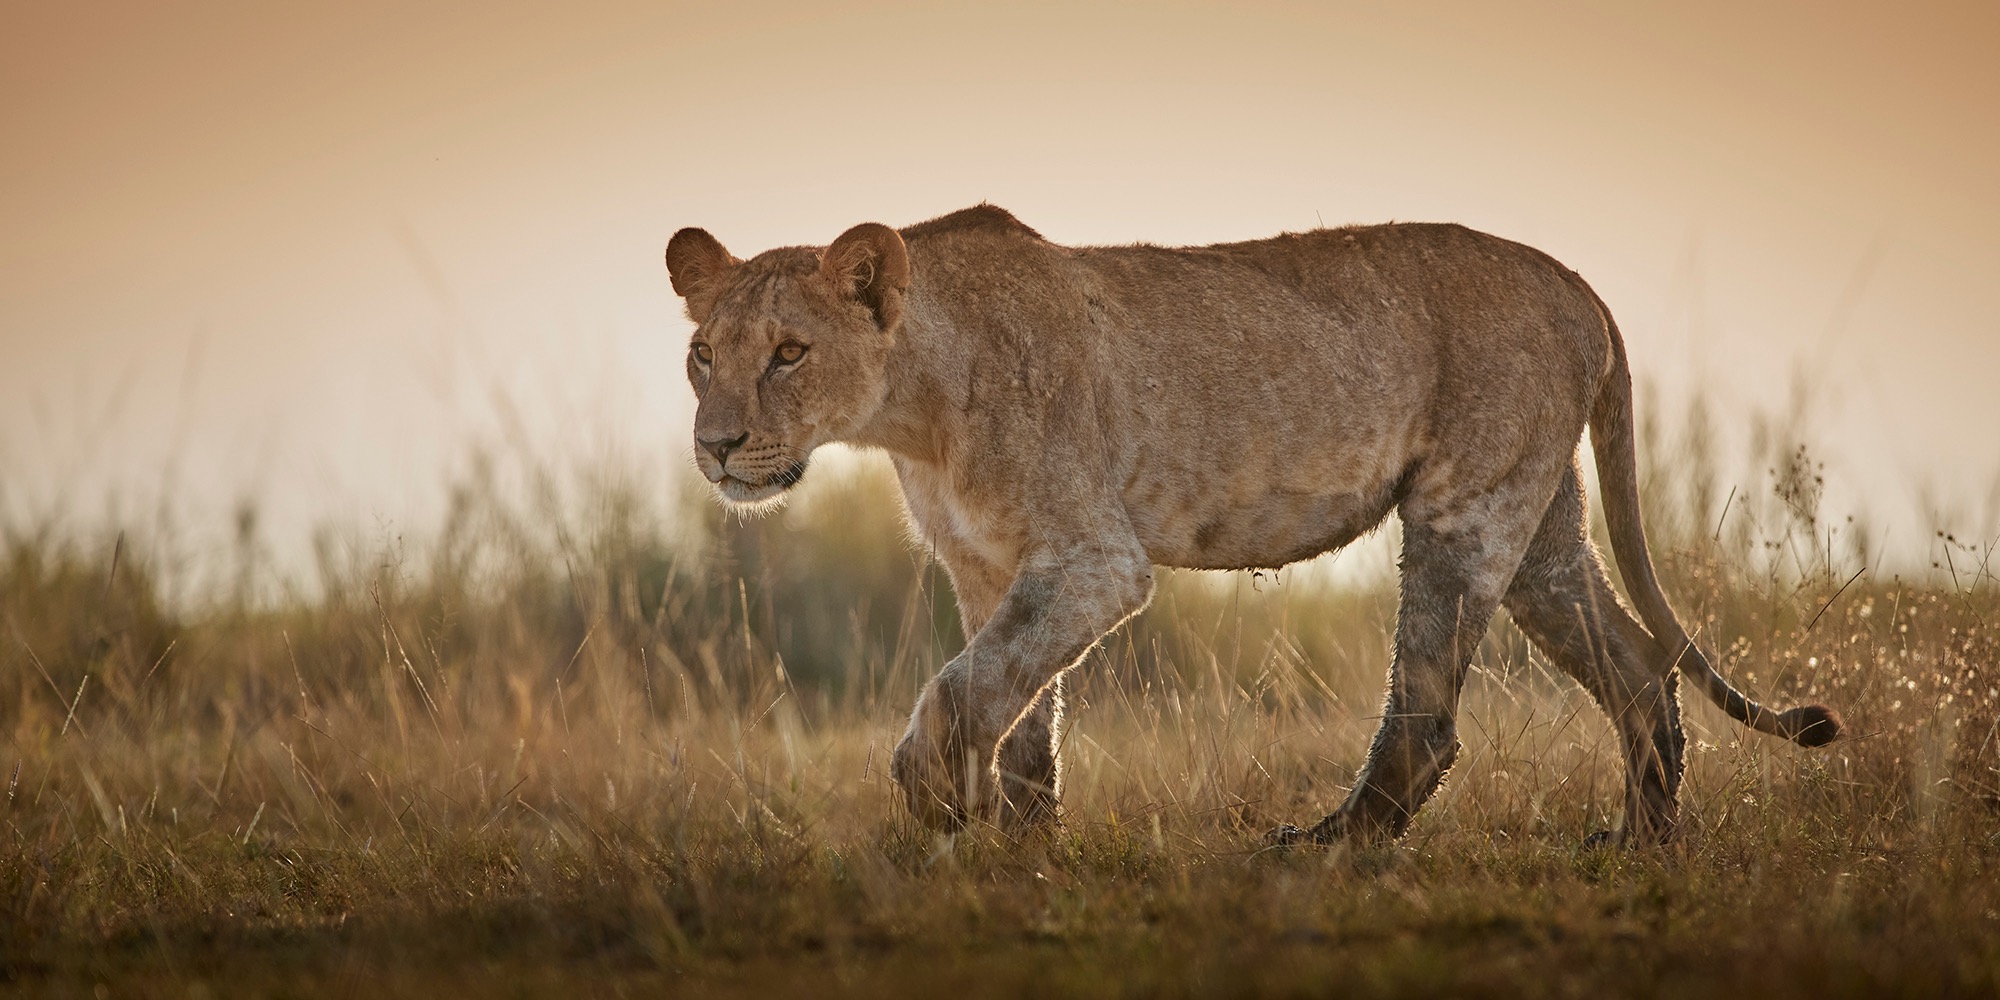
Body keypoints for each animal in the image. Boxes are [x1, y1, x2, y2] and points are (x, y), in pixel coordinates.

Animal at [664, 204, 1843, 847]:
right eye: (701, 355)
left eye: (788, 353)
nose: (716, 447)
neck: (914, 411)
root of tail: (1577, 283)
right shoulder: (987, 566)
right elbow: (1019, 705)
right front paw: (1022, 846)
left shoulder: (1094, 560)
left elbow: (964, 690)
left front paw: (938, 811)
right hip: (1539, 530)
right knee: (1639, 667)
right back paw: (1636, 844)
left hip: (1462, 512)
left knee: (1427, 715)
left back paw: (1325, 846)